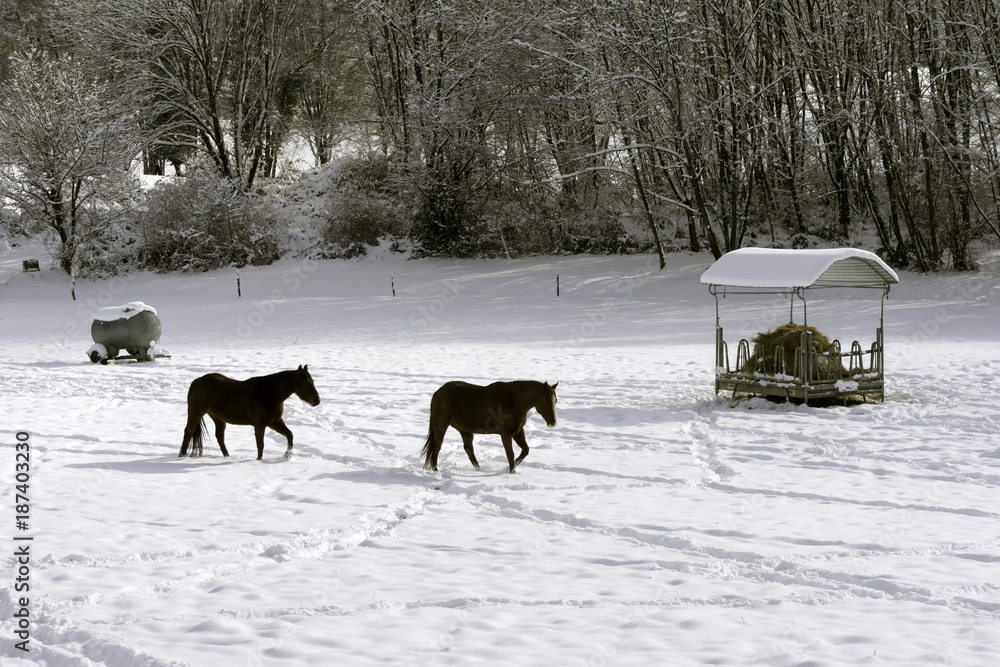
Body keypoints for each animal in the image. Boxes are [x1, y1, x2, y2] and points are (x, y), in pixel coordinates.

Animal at [180, 366, 320, 460]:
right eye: (304, 383)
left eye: (312, 381)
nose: (317, 400)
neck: (268, 395)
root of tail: (196, 382)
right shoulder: (260, 425)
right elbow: (260, 445)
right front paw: (259, 460)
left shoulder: (275, 422)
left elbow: (289, 434)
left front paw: (288, 455)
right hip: (196, 413)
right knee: (188, 431)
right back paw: (181, 455)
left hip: (218, 418)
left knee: (219, 437)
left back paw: (227, 456)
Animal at [420, 380, 560, 474]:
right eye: (545, 399)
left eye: (555, 400)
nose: (553, 422)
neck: (512, 401)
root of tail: (437, 392)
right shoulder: (506, 434)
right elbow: (510, 454)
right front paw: (512, 471)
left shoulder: (518, 432)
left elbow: (525, 450)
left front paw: (511, 468)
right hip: (441, 425)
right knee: (437, 447)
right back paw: (435, 470)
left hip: (465, 430)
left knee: (468, 449)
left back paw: (478, 469)